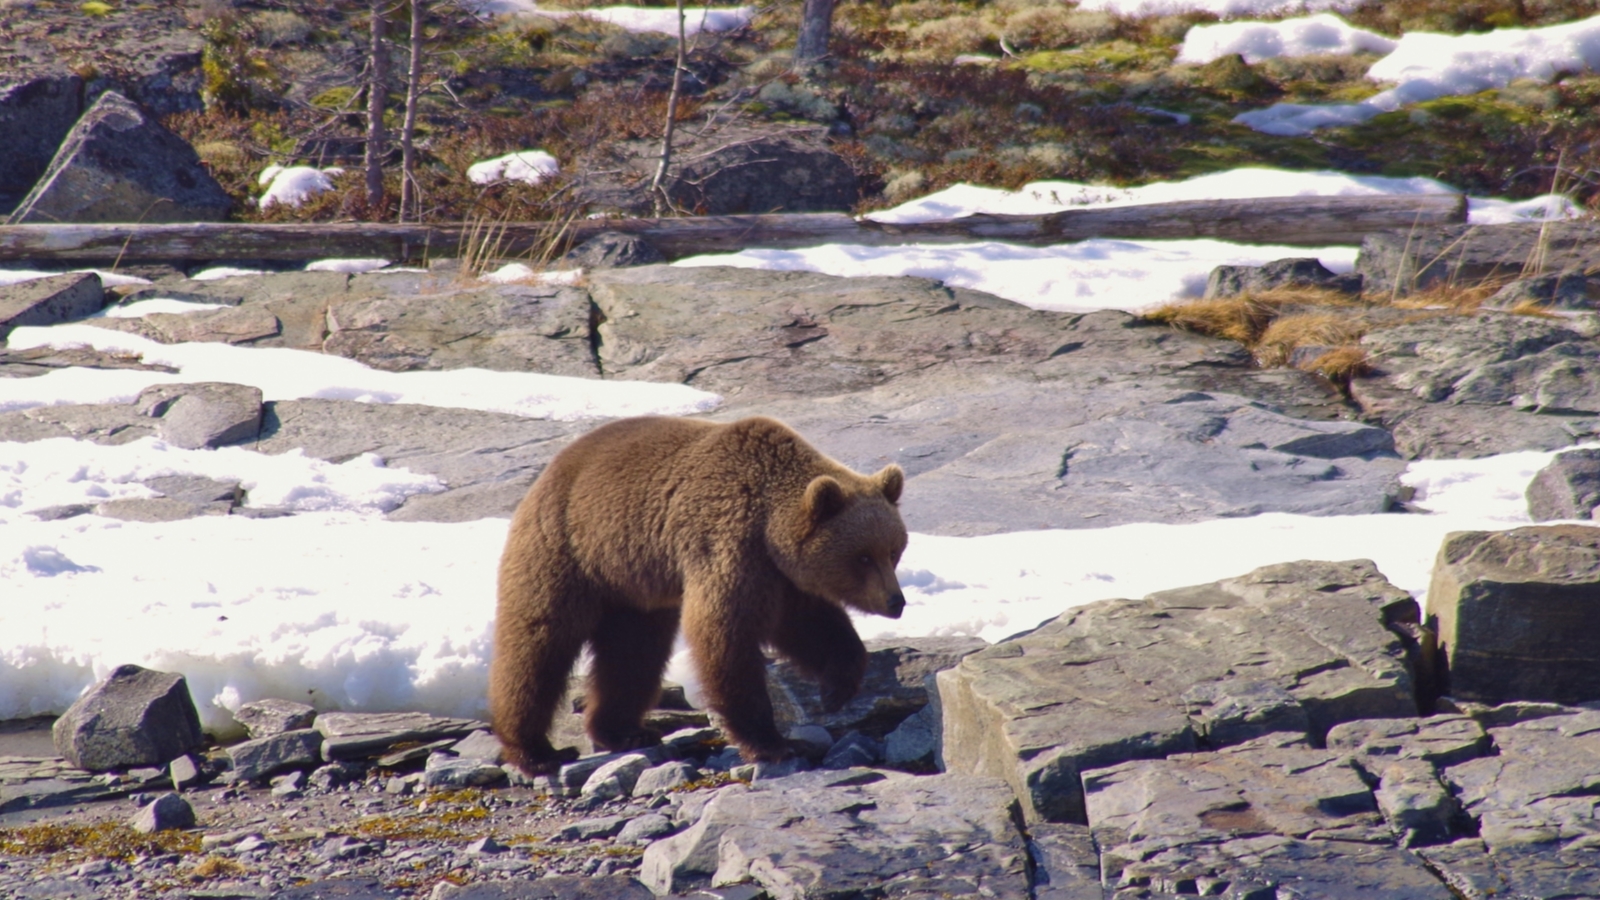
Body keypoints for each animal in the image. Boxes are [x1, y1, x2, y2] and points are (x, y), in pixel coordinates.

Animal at [486, 413, 908, 771]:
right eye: (863, 556)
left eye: (893, 550)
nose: (896, 601)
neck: (768, 525)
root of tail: (551, 469)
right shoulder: (730, 544)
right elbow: (725, 636)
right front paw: (771, 743)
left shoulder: (780, 576)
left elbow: (812, 625)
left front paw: (837, 689)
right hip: (567, 551)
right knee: (539, 644)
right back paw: (534, 750)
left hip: (633, 586)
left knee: (634, 652)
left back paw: (622, 730)